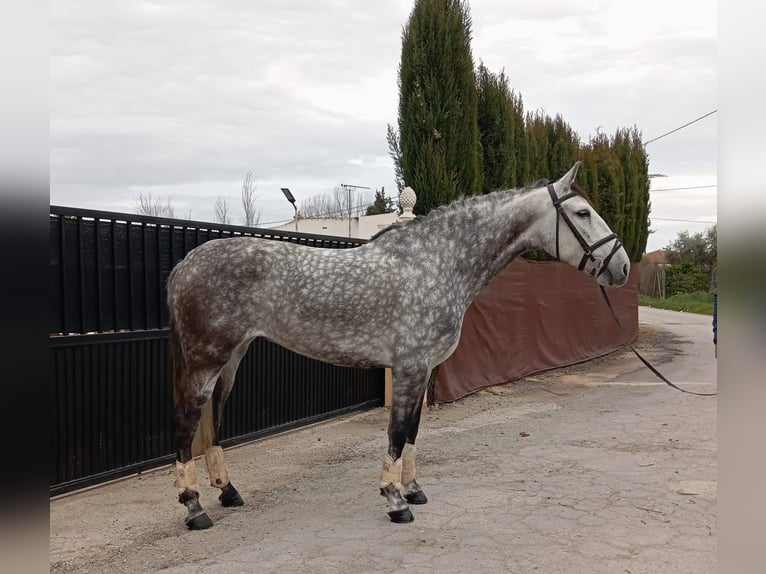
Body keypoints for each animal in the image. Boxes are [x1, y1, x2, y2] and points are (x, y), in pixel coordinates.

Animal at [166, 162, 632, 532]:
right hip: (206, 360)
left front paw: (413, 490)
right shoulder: (410, 368)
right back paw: (194, 509)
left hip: (232, 357)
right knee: (187, 421)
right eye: (583, 212)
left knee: (213, 417)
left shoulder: (423, 371)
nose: (623, 266)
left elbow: (412, 432)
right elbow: (395, 432)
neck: (437, 264)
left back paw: (228, 492)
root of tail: (186, 264)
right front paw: (394, 501)